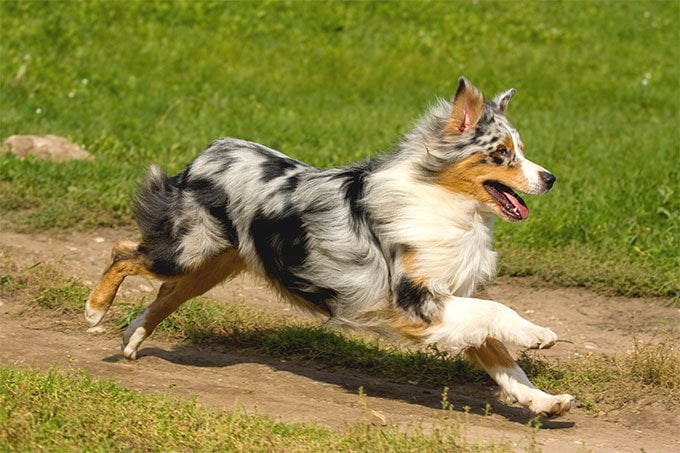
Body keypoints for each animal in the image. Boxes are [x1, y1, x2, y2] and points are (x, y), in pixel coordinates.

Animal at [83, 77, 572, 416]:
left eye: (520, 150)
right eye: (502, 154)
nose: (551, 178)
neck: (449, 204)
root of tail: (210, 151)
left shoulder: (451, 299)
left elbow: (502, 359)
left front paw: (543, 401)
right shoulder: (416, 301)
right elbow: (497, 313)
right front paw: (539, 334)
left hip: (209, 265)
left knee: (166, 293)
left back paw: (132, 337)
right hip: (185, 251)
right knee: (124, 251)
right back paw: (95, 309)